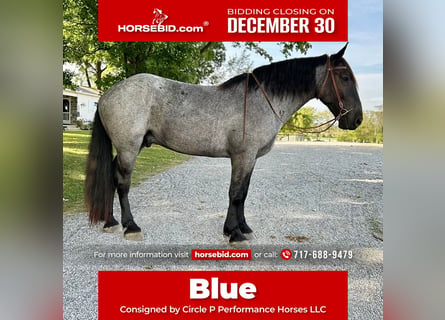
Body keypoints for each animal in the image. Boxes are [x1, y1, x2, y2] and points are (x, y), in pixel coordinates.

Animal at [85, 44, 362, 242]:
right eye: (345, 77)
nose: (357, 119)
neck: (262, 101)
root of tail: (108, 94)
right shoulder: (242, 156)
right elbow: (236, 194)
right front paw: (234, 233)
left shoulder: (250, 159)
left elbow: (243, 193)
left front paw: (242, 228)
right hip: (129, 148)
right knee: (122, 183)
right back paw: (130, 227)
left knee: (112, 175)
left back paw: (111, 222)